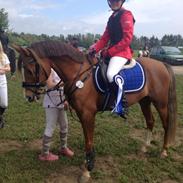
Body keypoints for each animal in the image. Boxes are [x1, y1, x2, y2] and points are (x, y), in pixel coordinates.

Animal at [12, 40, 177, 183]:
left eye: (29, 70)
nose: (28, 97)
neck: (79, 75)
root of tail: (162, 64)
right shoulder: (82, 115)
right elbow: (87, 140)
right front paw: (87, 164)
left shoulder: (88, 115)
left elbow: (89, 142)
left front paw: (87, 171)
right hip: (145, 101)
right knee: (150, 121)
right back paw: (145, 147)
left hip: (161, 103)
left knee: (166, 124)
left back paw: (164, 151)